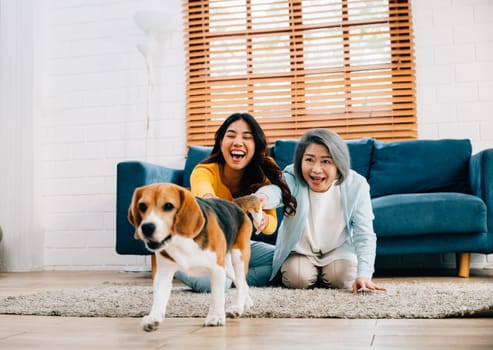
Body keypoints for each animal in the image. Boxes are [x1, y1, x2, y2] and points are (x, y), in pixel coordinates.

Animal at [128, 182, 258, 332]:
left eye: (168, 206)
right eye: (142, 206)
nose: (147, 227)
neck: (180, 240)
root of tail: (234, 203)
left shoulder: (216, 269)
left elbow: (217, 295)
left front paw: (215, 317)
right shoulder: (164, 272)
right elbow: (159, 296)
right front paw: (153, 318)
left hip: (238, 256)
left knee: (241, 282)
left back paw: (237, 307)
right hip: (227, 266)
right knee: (243, 283)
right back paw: (246, 303)